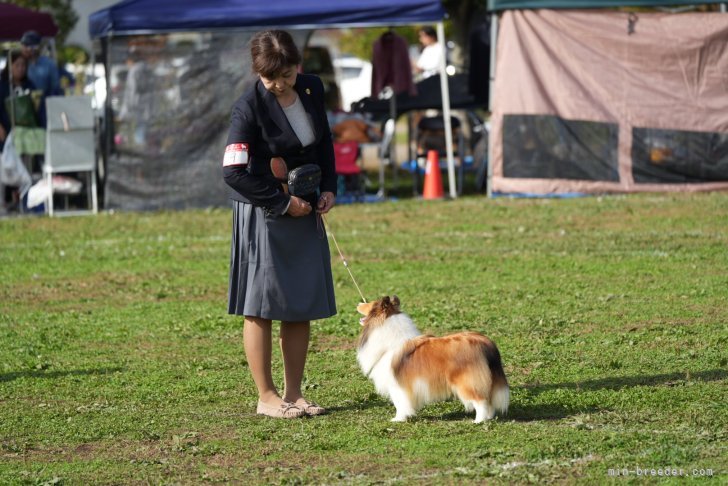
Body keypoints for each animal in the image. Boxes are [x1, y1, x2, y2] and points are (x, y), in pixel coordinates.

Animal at [356, 296, 510, 422]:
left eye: (370, 304)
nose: (358, 303)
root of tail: (486, 342)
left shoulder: (397, 385)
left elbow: (399, 403)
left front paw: (398, 419)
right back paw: (488, 418)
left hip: (467, 381)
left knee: (481, 401)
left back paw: (479, 421)